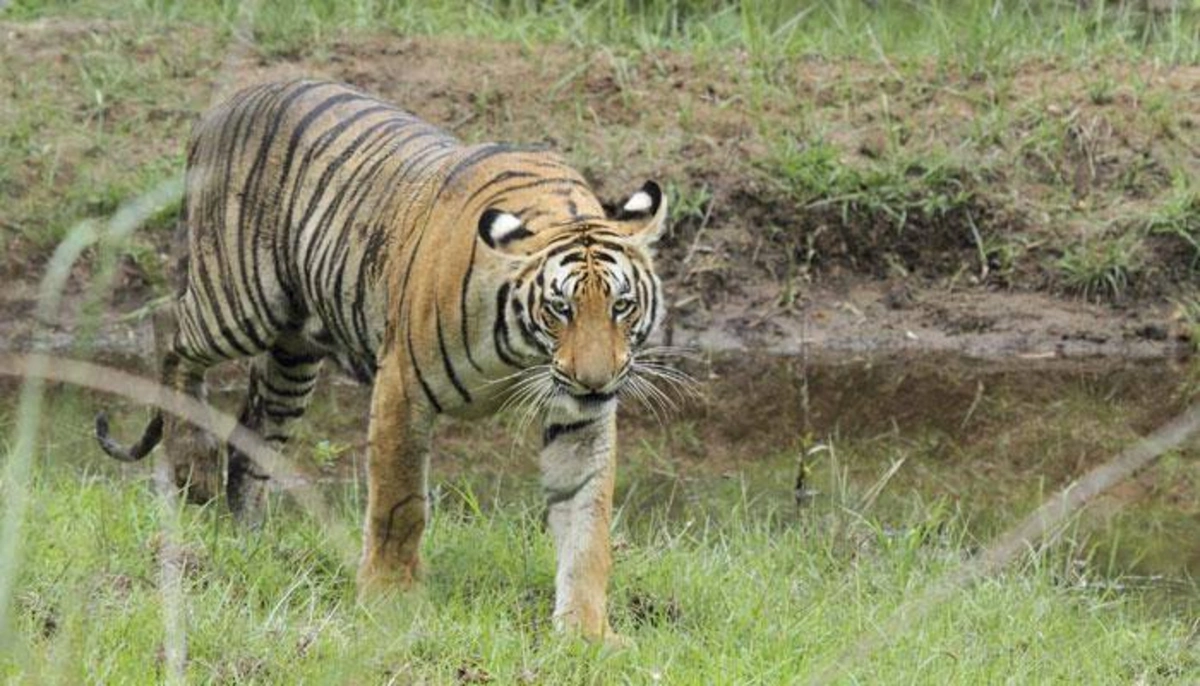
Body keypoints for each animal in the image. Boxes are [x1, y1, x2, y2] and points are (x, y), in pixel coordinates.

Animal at [91, 80, 676, 642]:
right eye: (560, 309)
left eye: (620, 306)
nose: (595, 380)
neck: (524, 353)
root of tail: (223, 104)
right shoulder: (403, 386)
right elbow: (401, 502)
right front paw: (390, 598)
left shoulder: (579, 420)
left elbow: (587, 525)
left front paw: (587, 631)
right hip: (238, 302)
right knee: (167, 329)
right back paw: (192, 469)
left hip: (292, 355)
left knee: (252, 433)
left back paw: (249, 536)